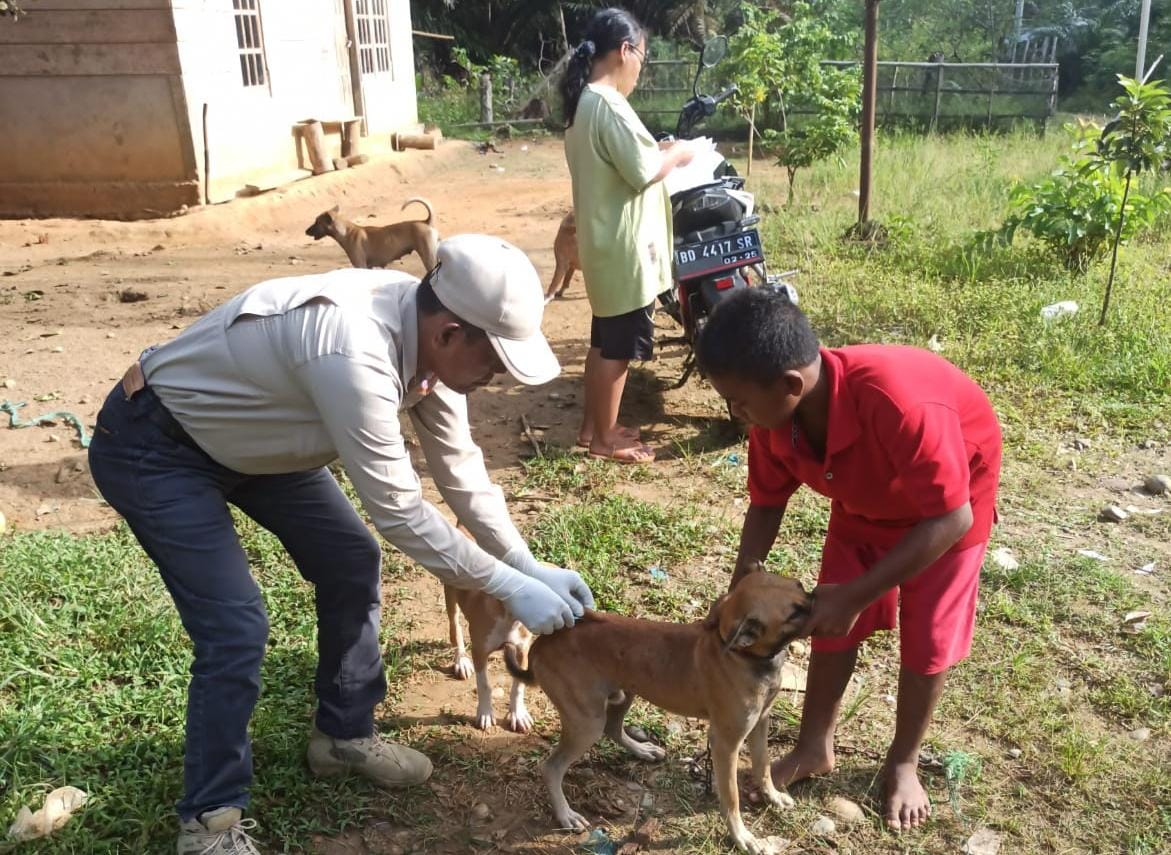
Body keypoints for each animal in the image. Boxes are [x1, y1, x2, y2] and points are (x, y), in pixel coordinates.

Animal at [306, 196, 440, 269]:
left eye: (317, 222)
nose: (305, 231)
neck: (347, 232)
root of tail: (426, 221)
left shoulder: (360, 265)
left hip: (428, 257)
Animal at [503, 562, 815, 847]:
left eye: (799, 585)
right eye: (794, 613)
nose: (818, 597)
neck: (742, 654)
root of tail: (542, 643)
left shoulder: (760, 723)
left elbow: (763, 766)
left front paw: (773, 797)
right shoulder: (726, 743)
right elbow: (732, 798)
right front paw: (741, 836)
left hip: (623, 694)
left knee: (613, 729)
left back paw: (642, 750)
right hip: (586, 722)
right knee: (552, 767)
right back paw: (565, 813)